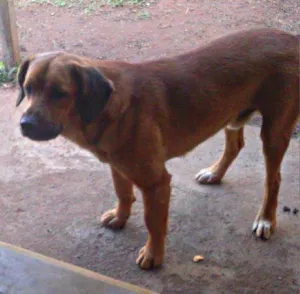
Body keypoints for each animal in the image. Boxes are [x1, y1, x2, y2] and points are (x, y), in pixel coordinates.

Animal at [17, 28, 298, 270]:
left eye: (59, 93)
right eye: (27, 88)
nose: (25, 124)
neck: (107, 108)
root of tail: (291, 38)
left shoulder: (156, 183)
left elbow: (153, 223)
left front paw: (153, 255)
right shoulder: (118, 166)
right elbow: (122, 193)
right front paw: (120, 217)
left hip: (274, 133)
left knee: (273, 179)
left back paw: (266, 219)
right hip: (232, 116)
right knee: (235, 145)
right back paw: (215, 173)